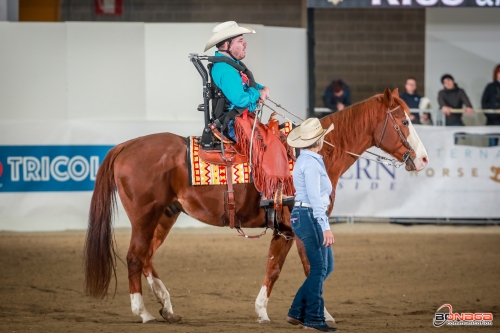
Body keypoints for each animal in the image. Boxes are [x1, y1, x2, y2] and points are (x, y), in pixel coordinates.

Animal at [84, 87, 428, 322]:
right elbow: (312, 267)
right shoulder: (305, 226)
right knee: (134, 257)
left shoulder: (284, 229)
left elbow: (274, 267)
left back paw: (166, 305)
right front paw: (322, 315)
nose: (424, 159)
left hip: (165, 215)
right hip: (144, 216)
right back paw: (142, 312)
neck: (316, 154)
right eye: (404, 121)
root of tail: (126, 145)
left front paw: (262, 311)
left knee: (146, 257)